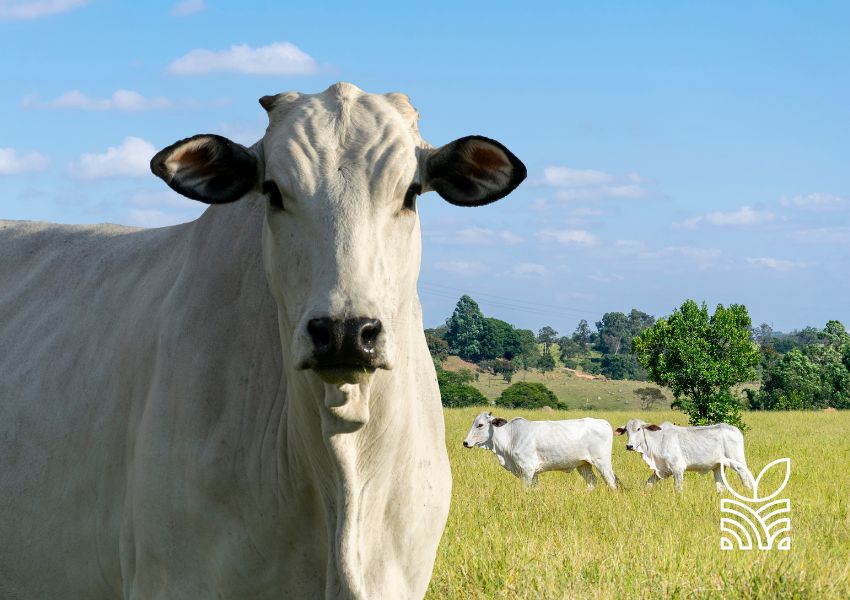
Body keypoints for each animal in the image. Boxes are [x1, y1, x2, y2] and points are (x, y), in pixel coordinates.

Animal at [460, 414, 612, 490]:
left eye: (480, 425)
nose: (465, 442)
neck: (510, 436)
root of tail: (604, 422)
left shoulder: (527, 469)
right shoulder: (534, 473)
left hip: (602, 463)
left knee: (611, 481)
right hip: (583, 465)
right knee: (592, 482)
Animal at [612, 418, 752, 492]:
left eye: (638, 429)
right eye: (626, 430)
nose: (629, 446)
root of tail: (735, 430)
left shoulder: (677, 469)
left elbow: (678, 489)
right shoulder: (662, 470)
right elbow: (649, 483)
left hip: (737, 462)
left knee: (745, 476)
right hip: (718, 467)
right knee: (720, 486)